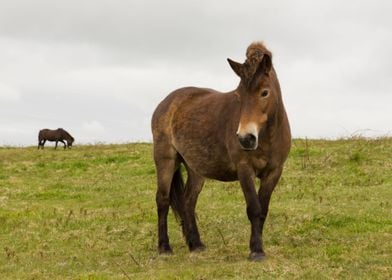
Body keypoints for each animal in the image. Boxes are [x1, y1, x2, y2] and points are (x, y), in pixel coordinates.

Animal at [152, 41, 290, 260]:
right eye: (238, 95)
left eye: (264, 92)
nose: (245, 138)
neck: (267, 136)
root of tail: (167, 102)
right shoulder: (244, 169)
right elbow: (254, 208)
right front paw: (256, 251)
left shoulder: (274, 172)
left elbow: (263, 210)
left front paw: (258, 248)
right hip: (165, 160)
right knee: (163, 200)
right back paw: (164, 247)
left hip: (196, 169)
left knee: (188, 201)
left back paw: (196, 244)